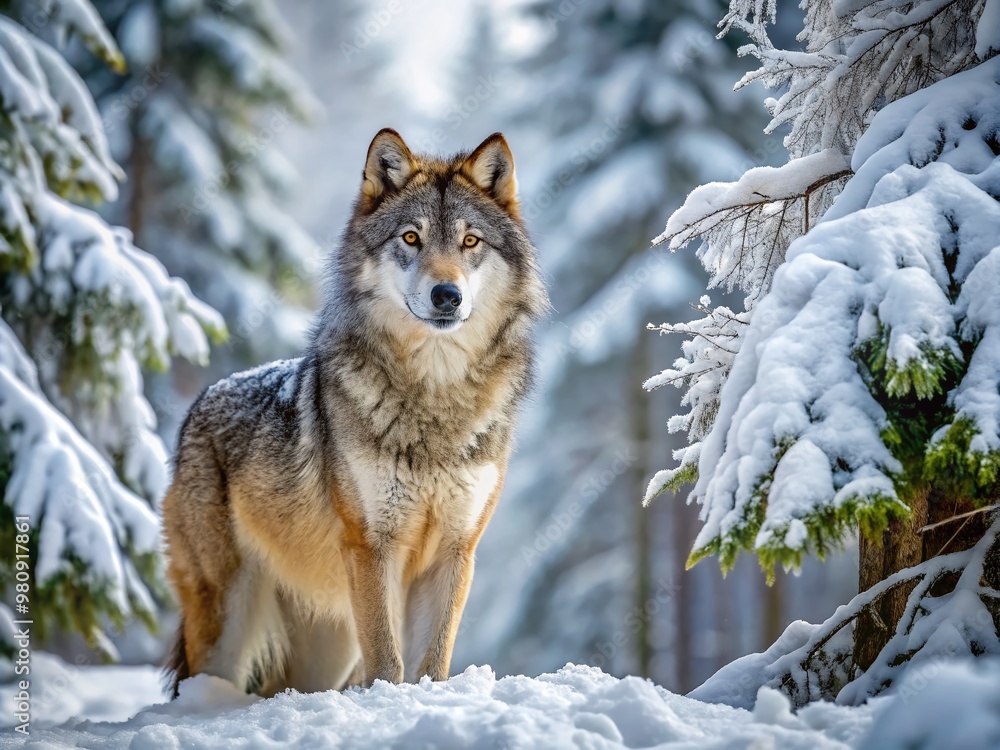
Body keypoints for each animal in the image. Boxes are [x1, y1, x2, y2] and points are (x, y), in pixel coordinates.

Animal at [161, 129, 547, 697]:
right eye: (410, 238)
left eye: (471, 242)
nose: (447, 294)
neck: (434, 397)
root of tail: (198, 407)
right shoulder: (371, 547)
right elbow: (387, 662)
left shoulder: (456, 551)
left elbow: (431, 664)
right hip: (226, 627)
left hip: (327, 650)